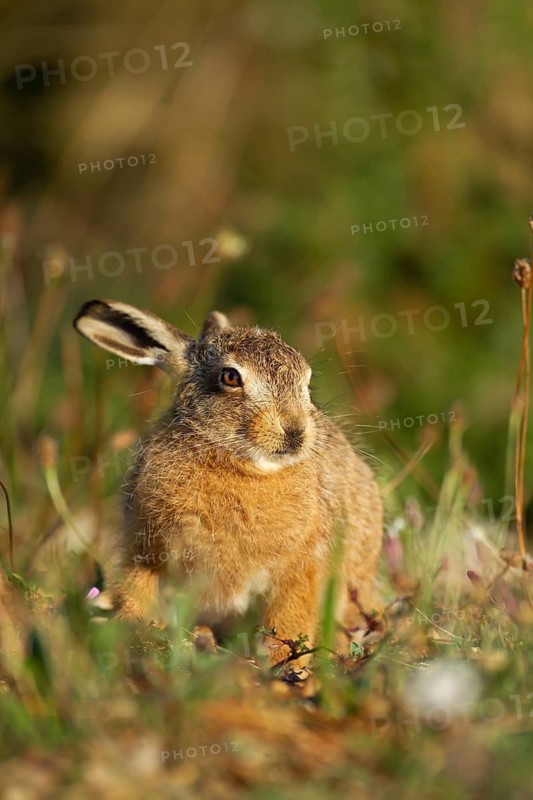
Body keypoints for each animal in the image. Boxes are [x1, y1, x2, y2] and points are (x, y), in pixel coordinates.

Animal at [73, 299, 383, 666]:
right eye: (230, 377)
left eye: (306, 383)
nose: (296, 431)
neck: (239, 465)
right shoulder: (146, 550)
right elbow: (137, 593)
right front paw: (129, 631)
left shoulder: (302, 570)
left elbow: (289, 621)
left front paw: (284, 664)